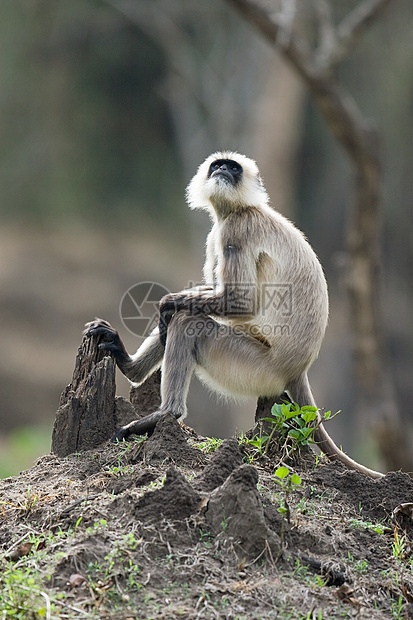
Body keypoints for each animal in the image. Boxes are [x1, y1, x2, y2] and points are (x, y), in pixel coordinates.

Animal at [86, 150, 384, 480]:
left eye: (233, 168)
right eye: (218, 165)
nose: (223, 171)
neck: (239, 209)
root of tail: (298, 370)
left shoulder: (237, 229)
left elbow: (240, 302)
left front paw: (165, 304)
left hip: (255, 369)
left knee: (188, 322)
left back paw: (166, 413)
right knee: (184, 317)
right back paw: (130, 367)